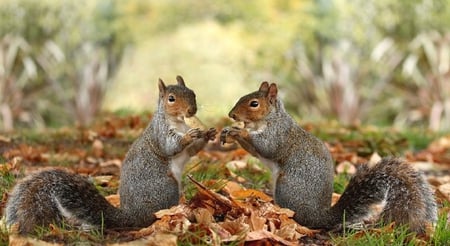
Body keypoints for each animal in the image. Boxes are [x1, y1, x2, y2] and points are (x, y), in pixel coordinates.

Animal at [4, 76, 216, 234]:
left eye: (193, 93)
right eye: (171, 98)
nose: (191, 110)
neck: (179, 123)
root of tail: (131, 216)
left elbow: (193, 150)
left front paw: (209, 133)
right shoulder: (160, 134)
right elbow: (170, 147)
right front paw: (189, 136)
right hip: (166, 187)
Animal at [220, 81, 438, 234]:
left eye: (254, 104)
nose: (231, 115)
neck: (270, 119)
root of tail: (319, 217)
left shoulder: (277, 135)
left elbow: (266, 147)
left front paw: (239, 131)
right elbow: (253, 150)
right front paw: (230, 132)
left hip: (286, 186)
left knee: (296, 216)